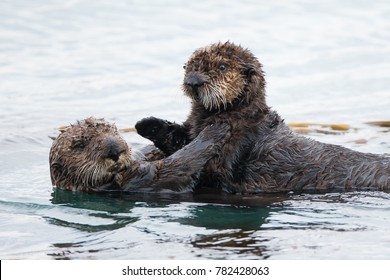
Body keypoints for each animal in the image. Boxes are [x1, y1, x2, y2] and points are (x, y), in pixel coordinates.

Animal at [50, 116, 230, 192]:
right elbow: (178, 165)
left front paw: (151, 125)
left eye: (114, 131)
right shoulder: (141, 179)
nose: (115, 150)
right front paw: (215, 130)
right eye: (80, 145)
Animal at [136, 41, 390, 194]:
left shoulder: (237, 142)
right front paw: (147, 124)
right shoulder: (192, 128)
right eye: (188, 67)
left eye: (222, 66)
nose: (193, 81)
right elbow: (180, 140)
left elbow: (207, 168)